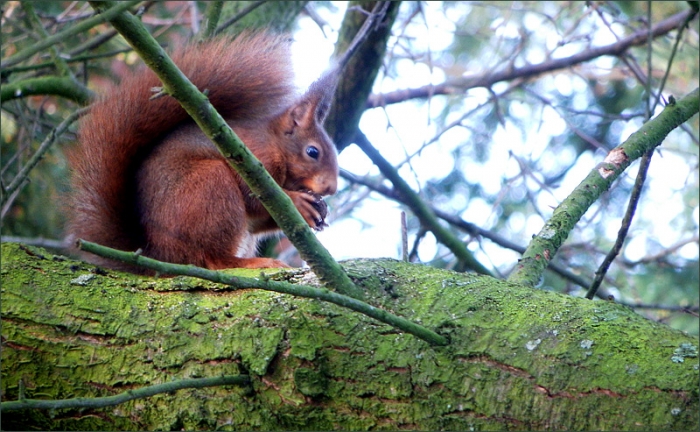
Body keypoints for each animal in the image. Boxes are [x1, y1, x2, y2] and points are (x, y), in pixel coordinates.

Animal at [67, 32, 339, 272]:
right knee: (214, 259)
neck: (275, 144)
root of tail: (160, 255)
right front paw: (298, 201)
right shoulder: (254, 157)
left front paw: (318, 209)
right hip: (211, 187)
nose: (331, 188)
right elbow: (252, 197)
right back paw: (252, 262)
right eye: (312, 151)